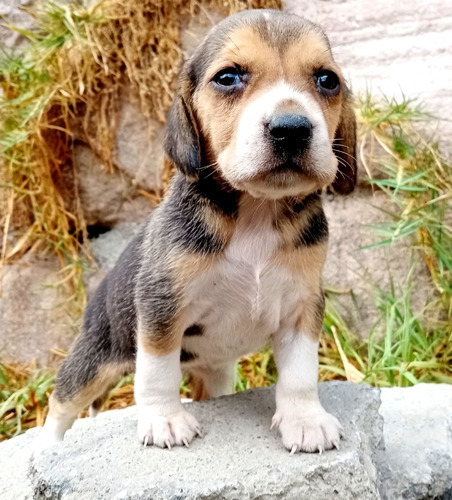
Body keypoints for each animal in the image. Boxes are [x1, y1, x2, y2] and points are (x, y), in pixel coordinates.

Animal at [38, 8, 356, 454]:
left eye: (328, 80)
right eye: (228, 77)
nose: (291, 128)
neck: (256, 211)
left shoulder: (303, 307)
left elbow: (300, 374)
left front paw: (305, 420)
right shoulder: (161, 306)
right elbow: (157, 373)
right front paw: (165, 420)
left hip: (217, 371)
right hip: (95, 358)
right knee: (62, 403)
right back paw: (49, 445)